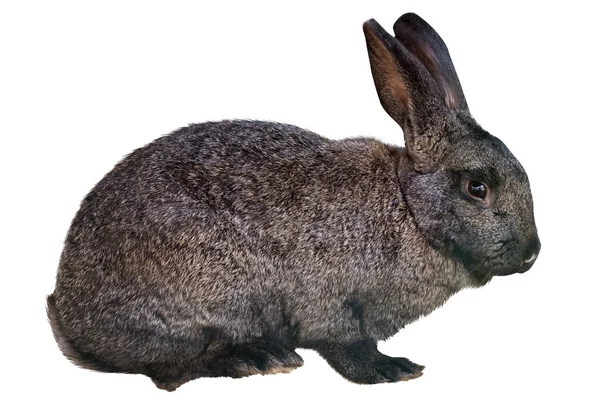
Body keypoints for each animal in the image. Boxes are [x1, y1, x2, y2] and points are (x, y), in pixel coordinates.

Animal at [48, 13, 540, 390]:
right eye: (477, 187)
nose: (532, 253)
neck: (409, 209)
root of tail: (70, 319)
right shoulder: (333, 307)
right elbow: (350, 352)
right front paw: (395, 370)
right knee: (170, 370)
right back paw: (257, 359)